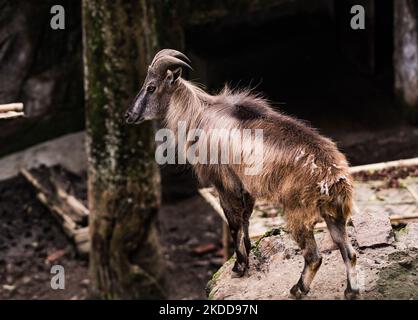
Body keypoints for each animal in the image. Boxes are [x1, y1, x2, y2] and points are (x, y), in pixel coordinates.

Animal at [125, 48, 360, 298]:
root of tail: (335, 177)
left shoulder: (224, 184)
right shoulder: (245, 186)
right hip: (334, 214)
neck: (198, 115)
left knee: (314, 256)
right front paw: (248, 254)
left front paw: (239, 267)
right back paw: (351, 291)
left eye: (151, 87)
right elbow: (246, 218)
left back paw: (298, 289)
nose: (128, 115)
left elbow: (234, 222)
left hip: (298, 213)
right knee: (349, 251)